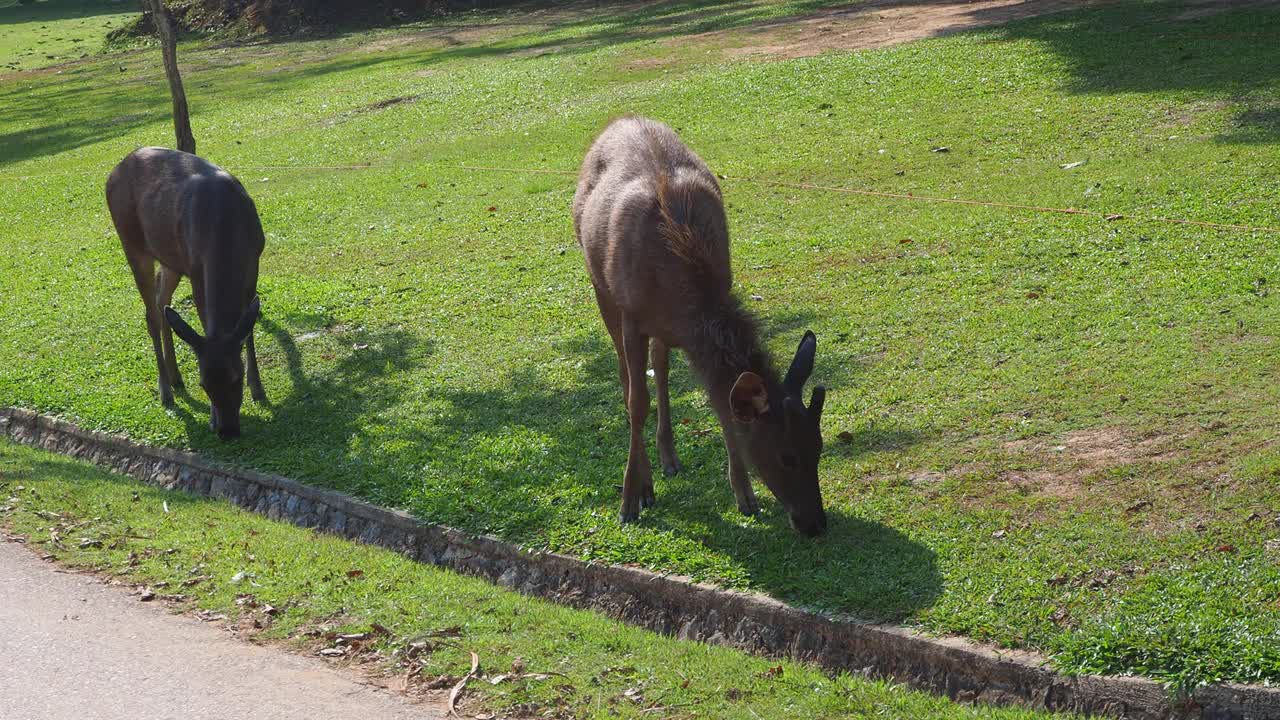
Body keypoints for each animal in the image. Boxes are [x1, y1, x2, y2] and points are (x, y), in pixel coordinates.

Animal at [106, 146, 266, 438]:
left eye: (236, 377)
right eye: (204, 384)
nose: (226, 431)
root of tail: (114, 171)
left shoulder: (255, 260)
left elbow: (248, 327)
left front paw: (258, 388)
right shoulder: (196, 269)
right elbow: (206, 321)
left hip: (171, 258)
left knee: (162, 302)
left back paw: (175, 377)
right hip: (132, 242)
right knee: (150, 314)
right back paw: (166, 391)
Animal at [573, 116, 829, 532]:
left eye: (819, 446)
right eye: (787, 456)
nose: (816, 524)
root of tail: (621, 120)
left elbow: (720, 402)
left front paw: (745, 496)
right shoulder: (631, 314)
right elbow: (636, 402)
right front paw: (629, 499)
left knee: (659, 365)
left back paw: (669, 458)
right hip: (600, 286)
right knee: (626, 376)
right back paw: (646, 482)